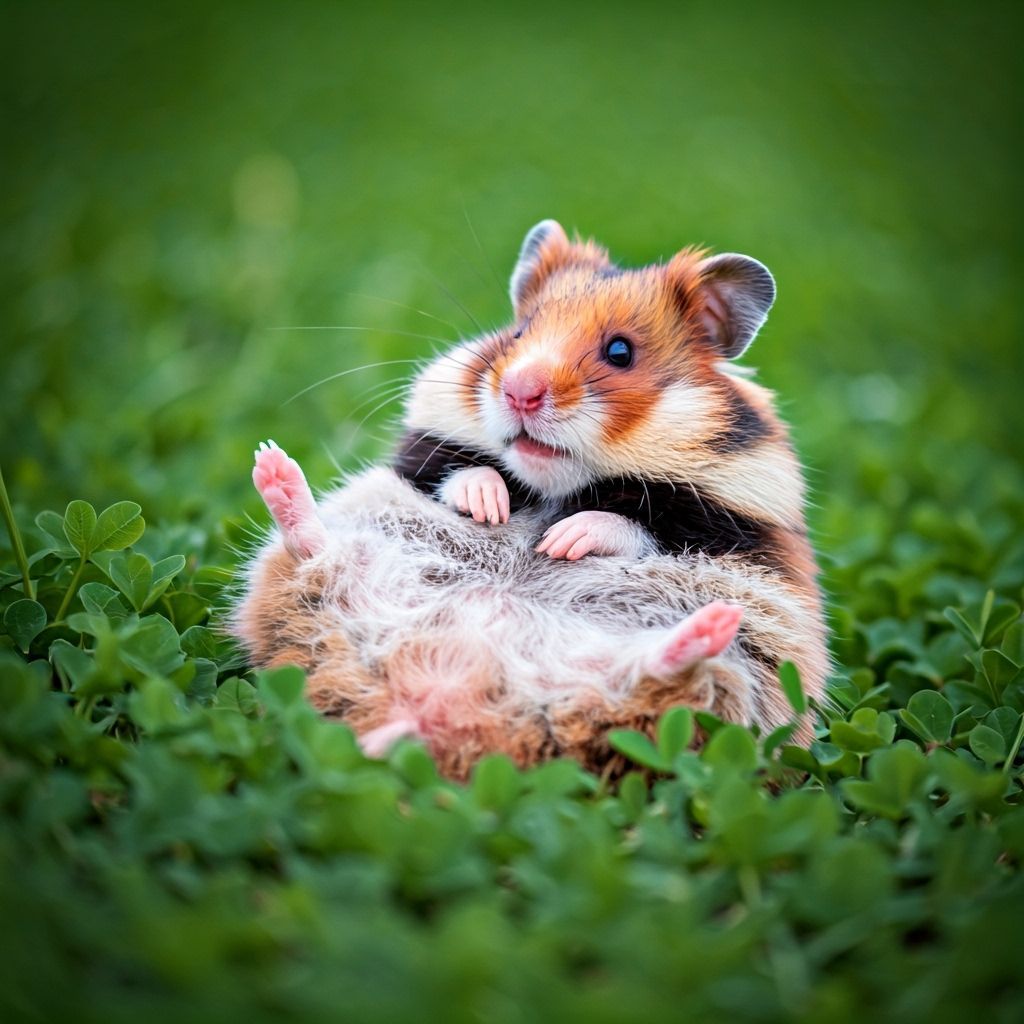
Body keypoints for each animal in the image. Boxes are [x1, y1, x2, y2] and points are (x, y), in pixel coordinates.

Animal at [233, 220, 829, 779]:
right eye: (517, 333)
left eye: (620, 352)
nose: (519, 390)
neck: (553, 484)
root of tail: (428, 706)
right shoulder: (423, 453)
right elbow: (460, 470)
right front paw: (489, 506)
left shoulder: (726, 517)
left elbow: (632, 520)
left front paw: (562, 541)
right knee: (311, 551)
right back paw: (274, 469)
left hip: (723, 692)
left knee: (661, 681)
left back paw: (709, 628)